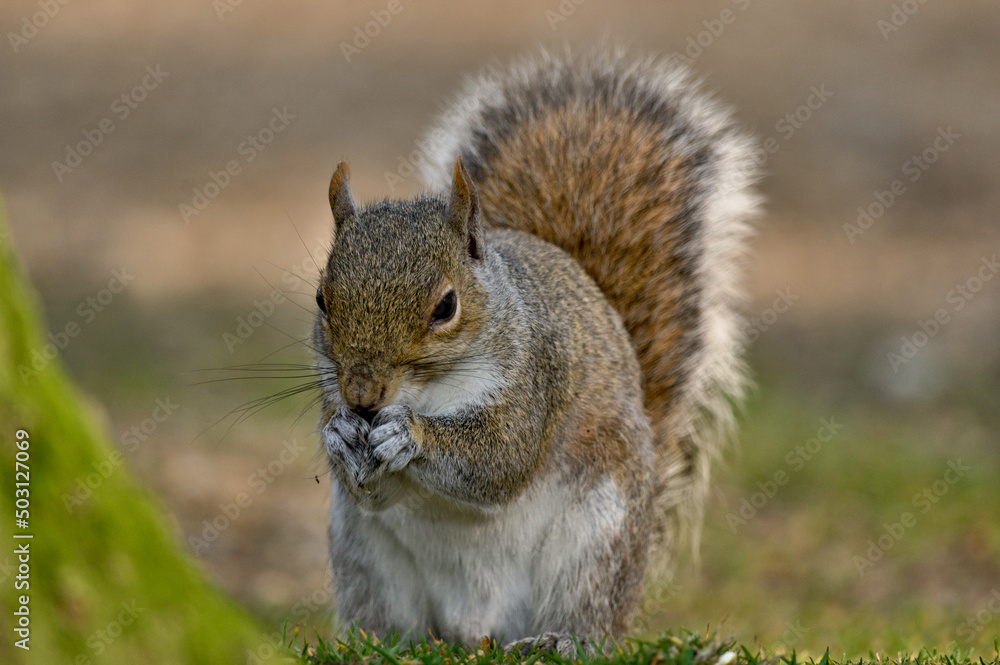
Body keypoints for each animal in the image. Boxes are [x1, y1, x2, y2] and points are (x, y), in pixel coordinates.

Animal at [313, 48, 760, 654]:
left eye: (445, 307)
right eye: (321, 299)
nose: (361, 397)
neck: (427, 391)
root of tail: (476, 630)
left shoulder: (535, 379)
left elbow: (500, 460)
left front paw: (409, 435)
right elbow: (370, 492)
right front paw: (338, 436)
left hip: (598, 539)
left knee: (591, 616)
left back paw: (563, 642)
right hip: (364, 559)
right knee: (392, 616)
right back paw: (386, 644)